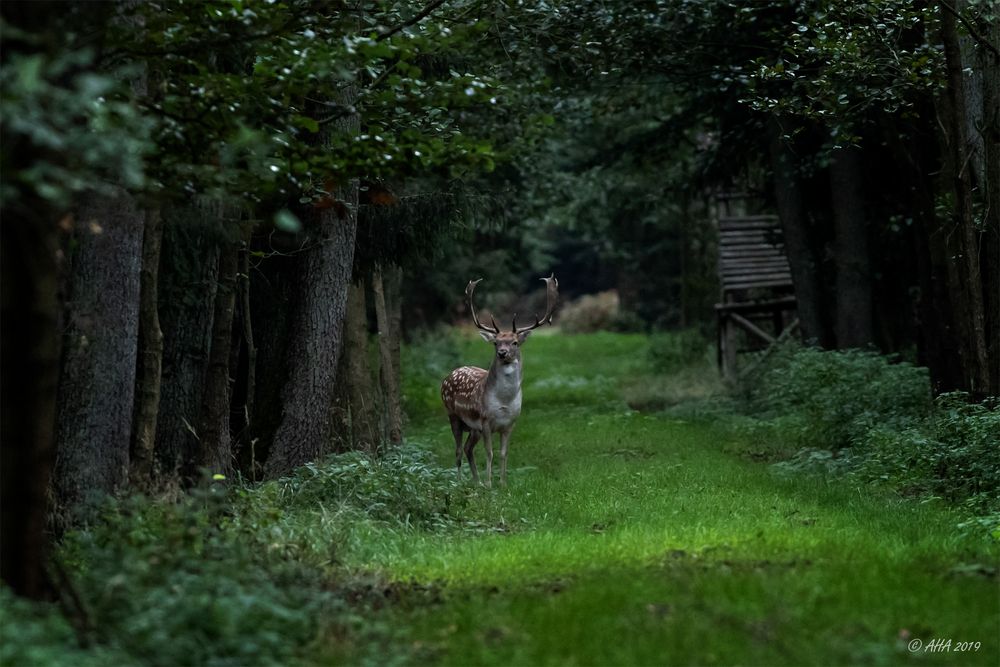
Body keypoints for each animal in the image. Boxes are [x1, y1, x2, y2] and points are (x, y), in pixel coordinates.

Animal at [442, 274, 560, 488]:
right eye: (496, 342)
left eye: (515, 342)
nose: (502, 352)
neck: (504, 402)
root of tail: (448, 376)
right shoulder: (486, 421)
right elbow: (489, 453)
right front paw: (490, 484)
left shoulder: (510, 423)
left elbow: (504, 453)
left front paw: (503, 483)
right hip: (453, 415)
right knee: (457, 450)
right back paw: (462, 482)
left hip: (473, 428)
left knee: (468, 448)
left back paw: (477, 482)